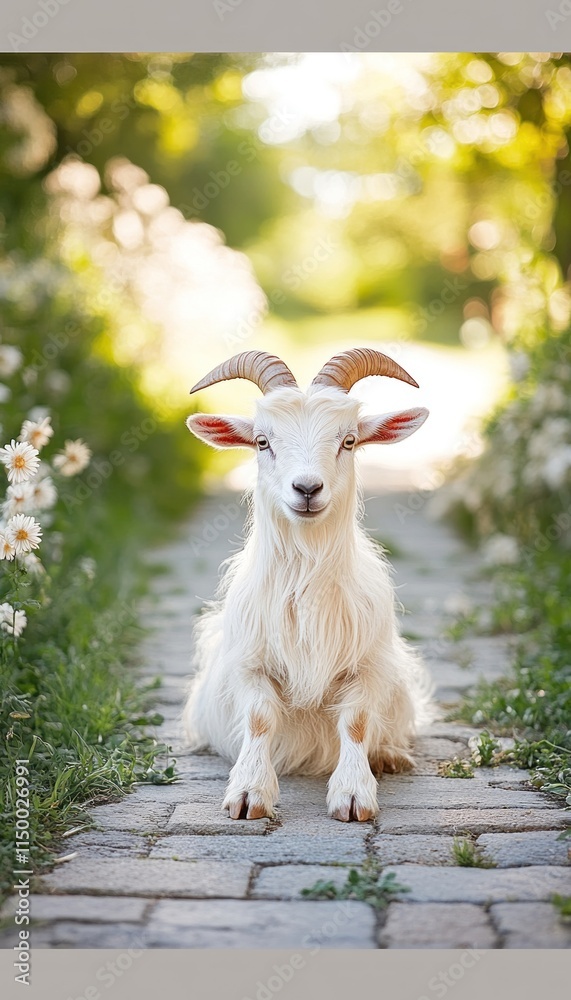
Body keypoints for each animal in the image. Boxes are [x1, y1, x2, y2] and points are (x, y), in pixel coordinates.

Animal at [184, 349, 432, 822]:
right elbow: (260, 717)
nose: (307, 488)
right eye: (262, 441)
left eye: (348, 441)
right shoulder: (249, 662)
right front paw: (249, 792)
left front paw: (353, 793)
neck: (306, 582)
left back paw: (389, 755)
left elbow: (355, 721)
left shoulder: (368, 665)